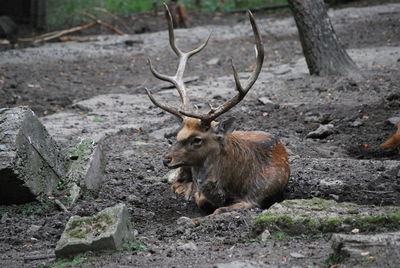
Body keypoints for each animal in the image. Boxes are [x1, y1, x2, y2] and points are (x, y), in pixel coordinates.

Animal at [145, 4, 290, 215]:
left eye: (197, 139)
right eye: (177, 135)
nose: (166, 159)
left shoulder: (258, 198)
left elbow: (221, 210)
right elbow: (202, 201)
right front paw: (191, 193)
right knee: (175, 180)